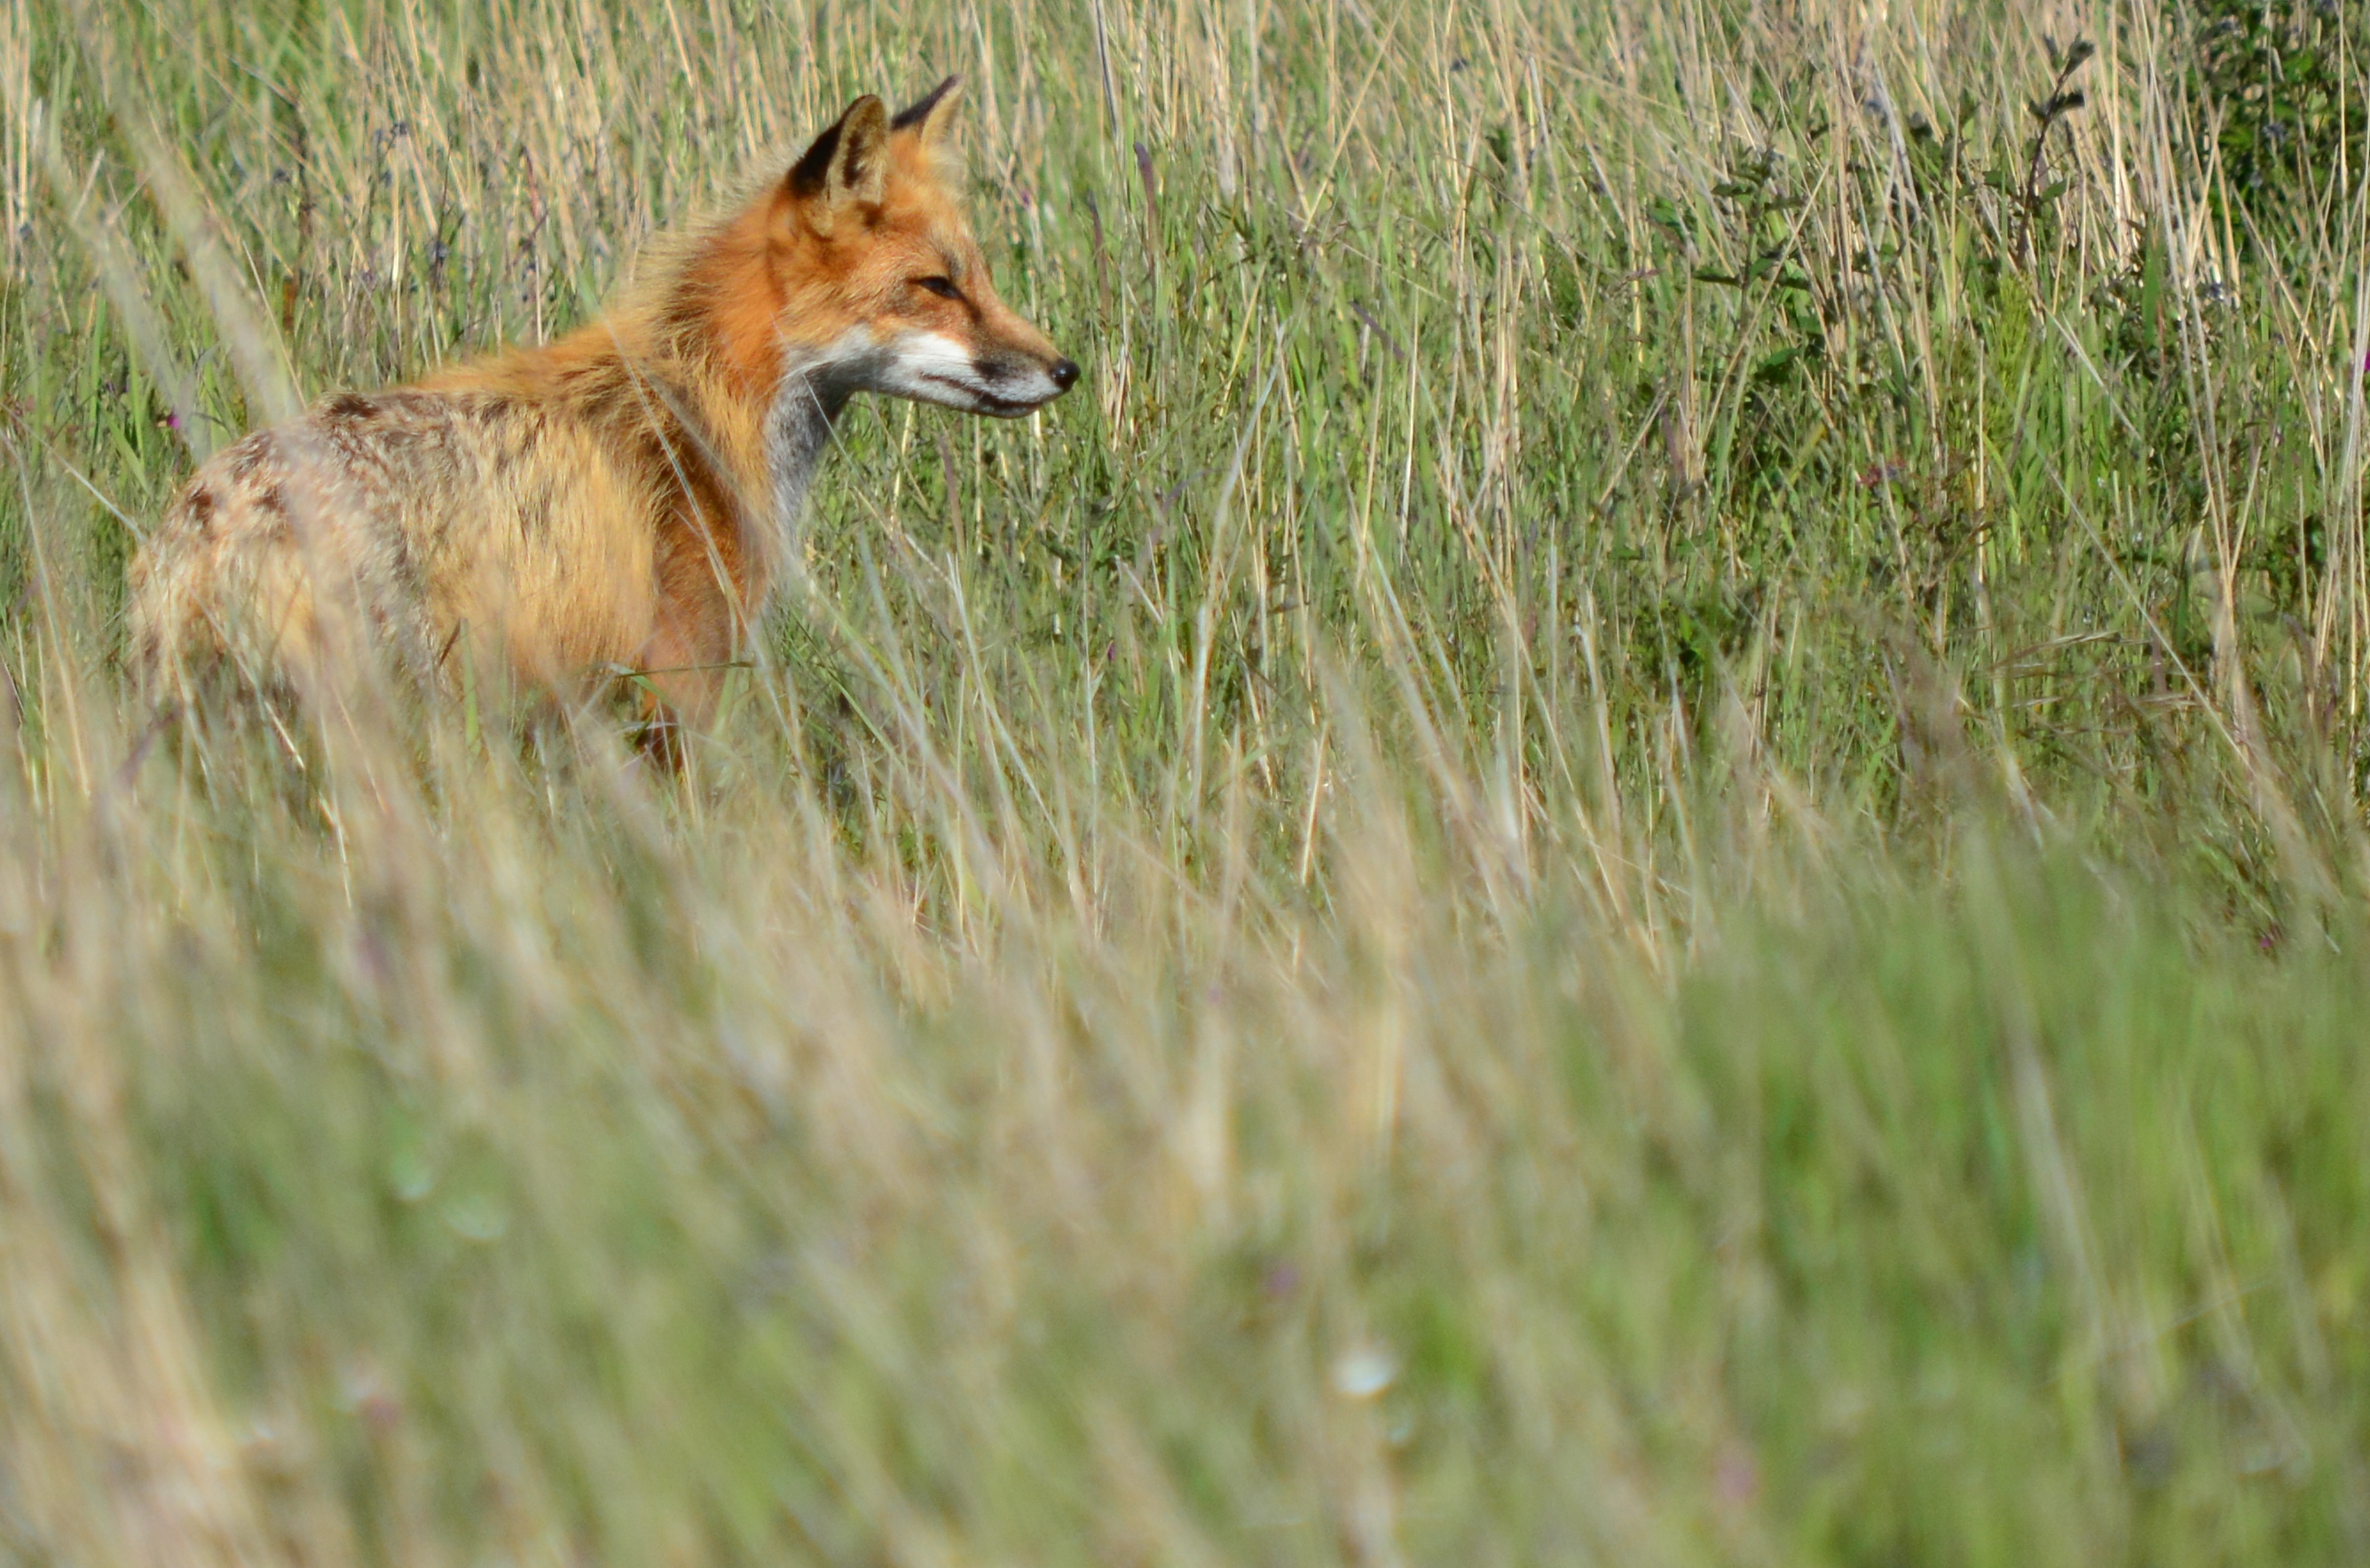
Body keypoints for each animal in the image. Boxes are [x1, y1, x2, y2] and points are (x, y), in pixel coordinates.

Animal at [134, 81, 1080, 748]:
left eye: (979, 277)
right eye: (936, 287)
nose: (1065, 370)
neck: (702, 401)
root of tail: (201, 524)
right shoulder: (679, 680)